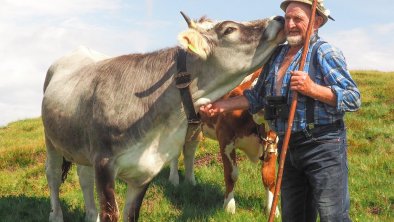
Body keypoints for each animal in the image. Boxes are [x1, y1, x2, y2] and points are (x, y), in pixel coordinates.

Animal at [169, 69, 280, 217]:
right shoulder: (225, 139)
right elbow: (231, 175)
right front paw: (229, 207)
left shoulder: (272, 143)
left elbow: (269, 177)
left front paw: (272, 210)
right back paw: (174, 180)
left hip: (195, 126)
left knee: (190, 150)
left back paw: (190, 181)